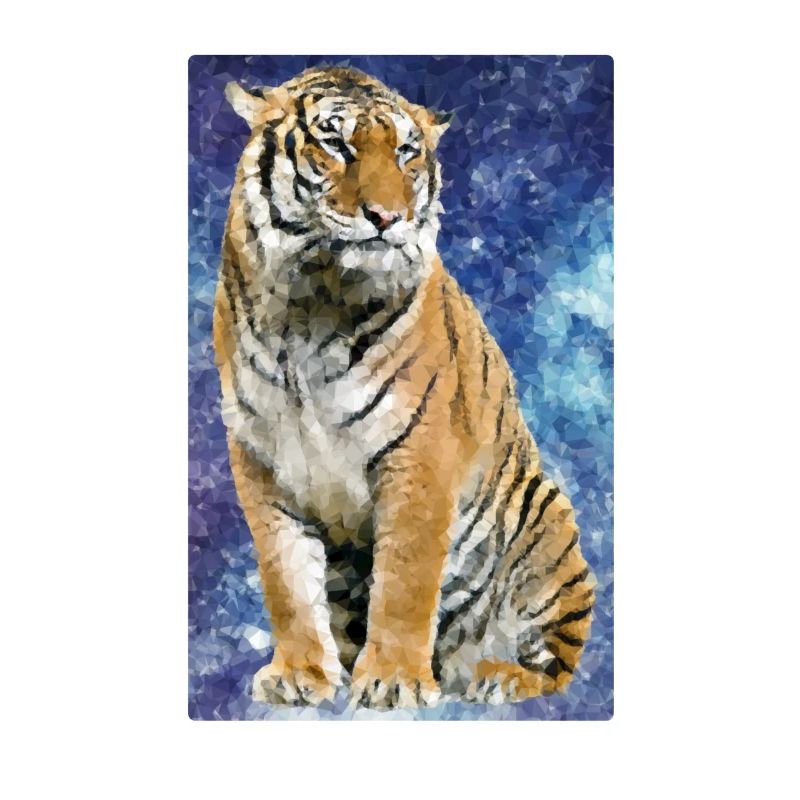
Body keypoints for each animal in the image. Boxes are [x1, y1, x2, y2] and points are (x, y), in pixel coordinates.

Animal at [213, 66, 596, 709]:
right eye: (335, 144)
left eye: (405, 152)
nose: (387, 217)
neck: (311, 304)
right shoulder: (260, 459)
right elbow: (286, 580)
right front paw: (300, 674)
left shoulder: (419, 454)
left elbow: (405, 580)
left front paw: (394, 681)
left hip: (548, 524)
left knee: (556, 664)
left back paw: (499, 677)